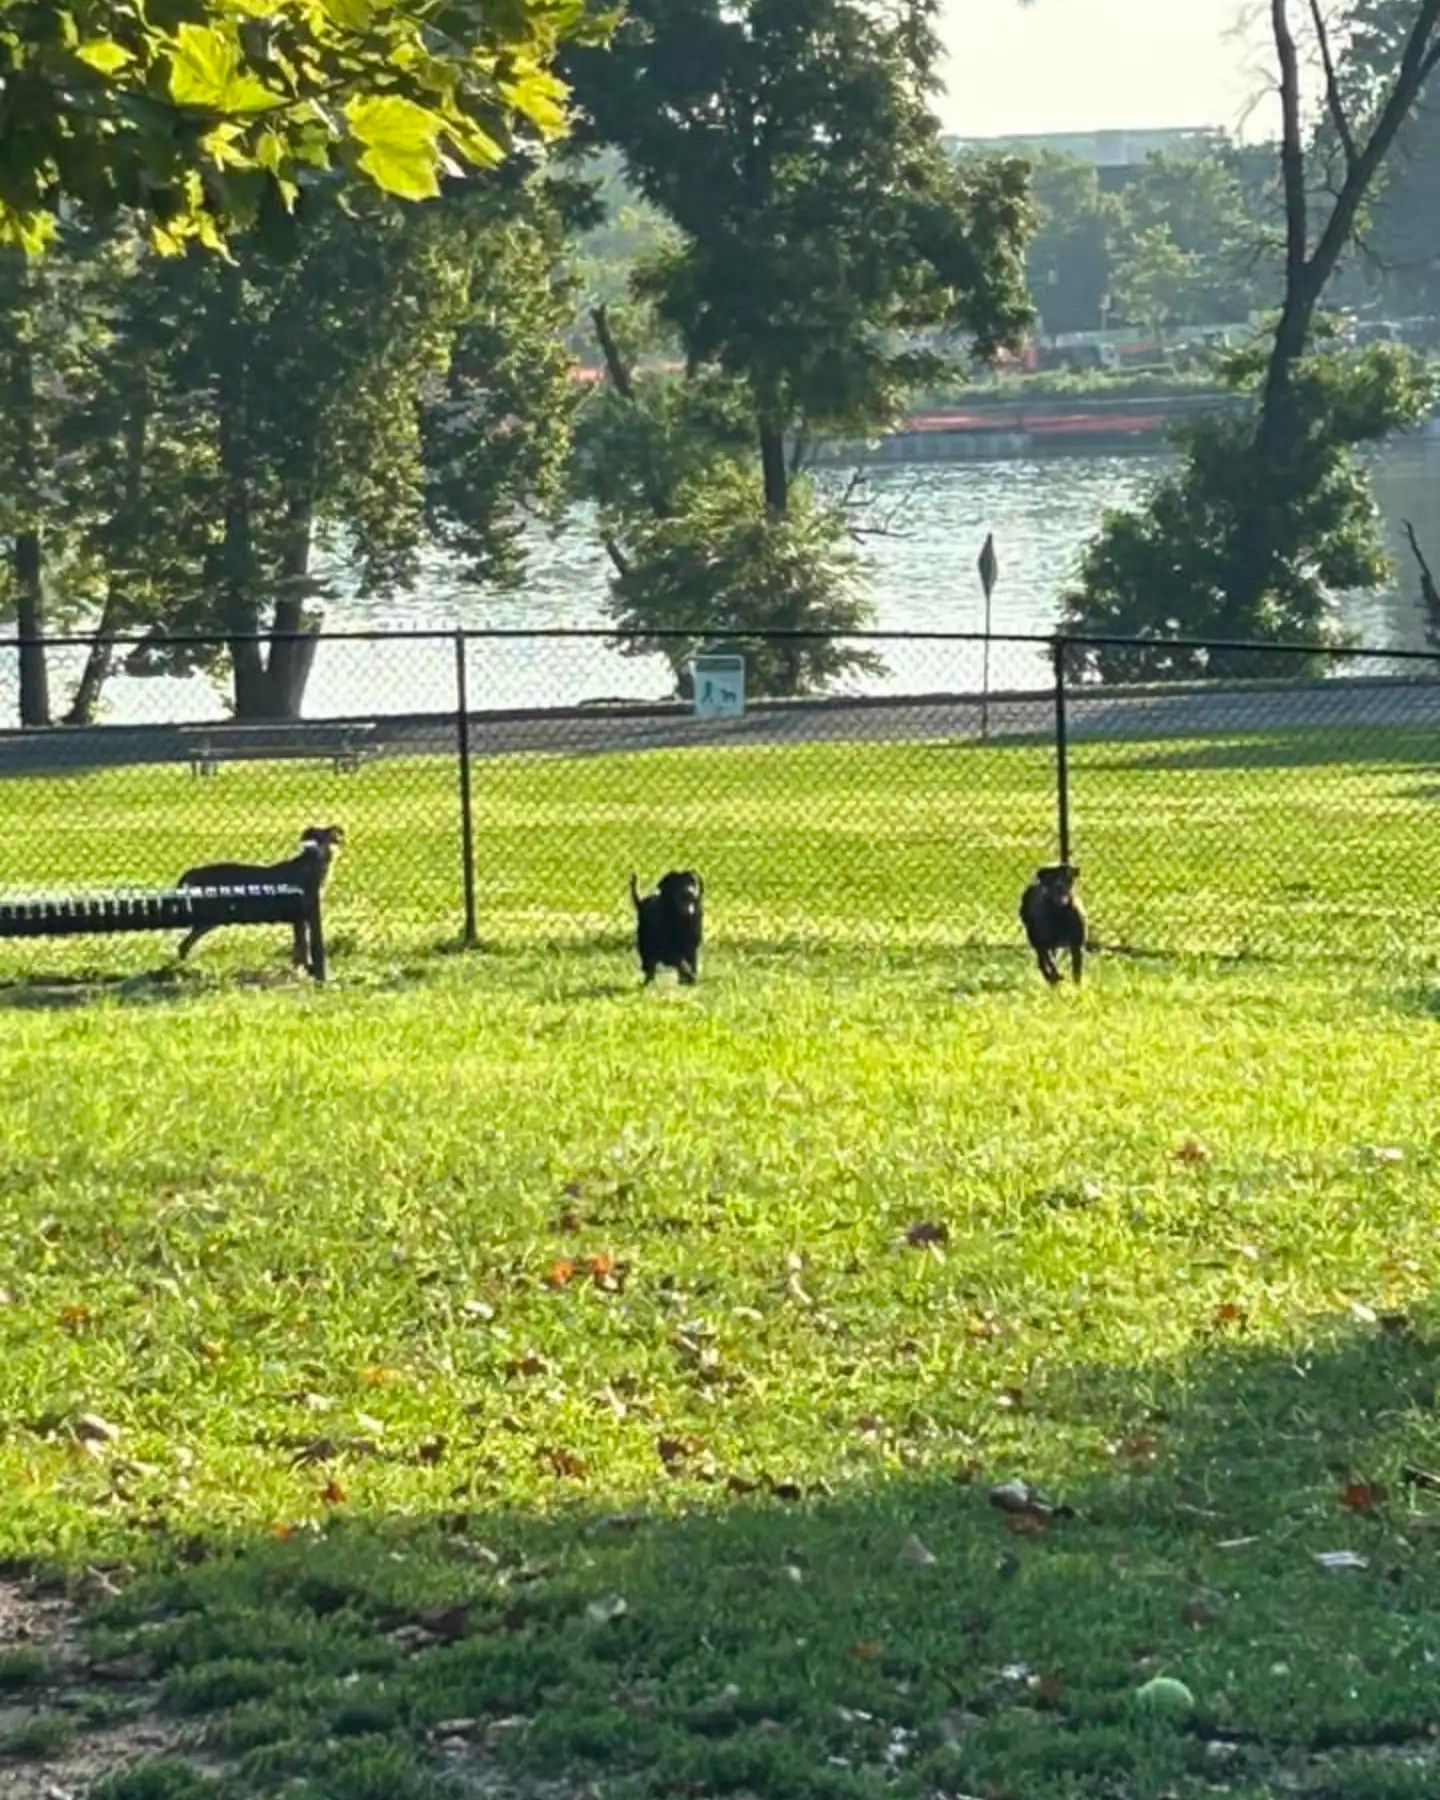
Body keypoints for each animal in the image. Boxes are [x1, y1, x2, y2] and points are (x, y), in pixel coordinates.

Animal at [1015, 856, 1087, 986]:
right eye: (1050, 877)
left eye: (1067, 875)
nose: (1059, 885)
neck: (1059, 914)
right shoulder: (1043, 944)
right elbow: (1050, 963)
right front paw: (1056, 976)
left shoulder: (1077, 946)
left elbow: (1076, 973)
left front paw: (1077, 988)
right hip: (1034, 939)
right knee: (1042, 962)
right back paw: (1051, 979)